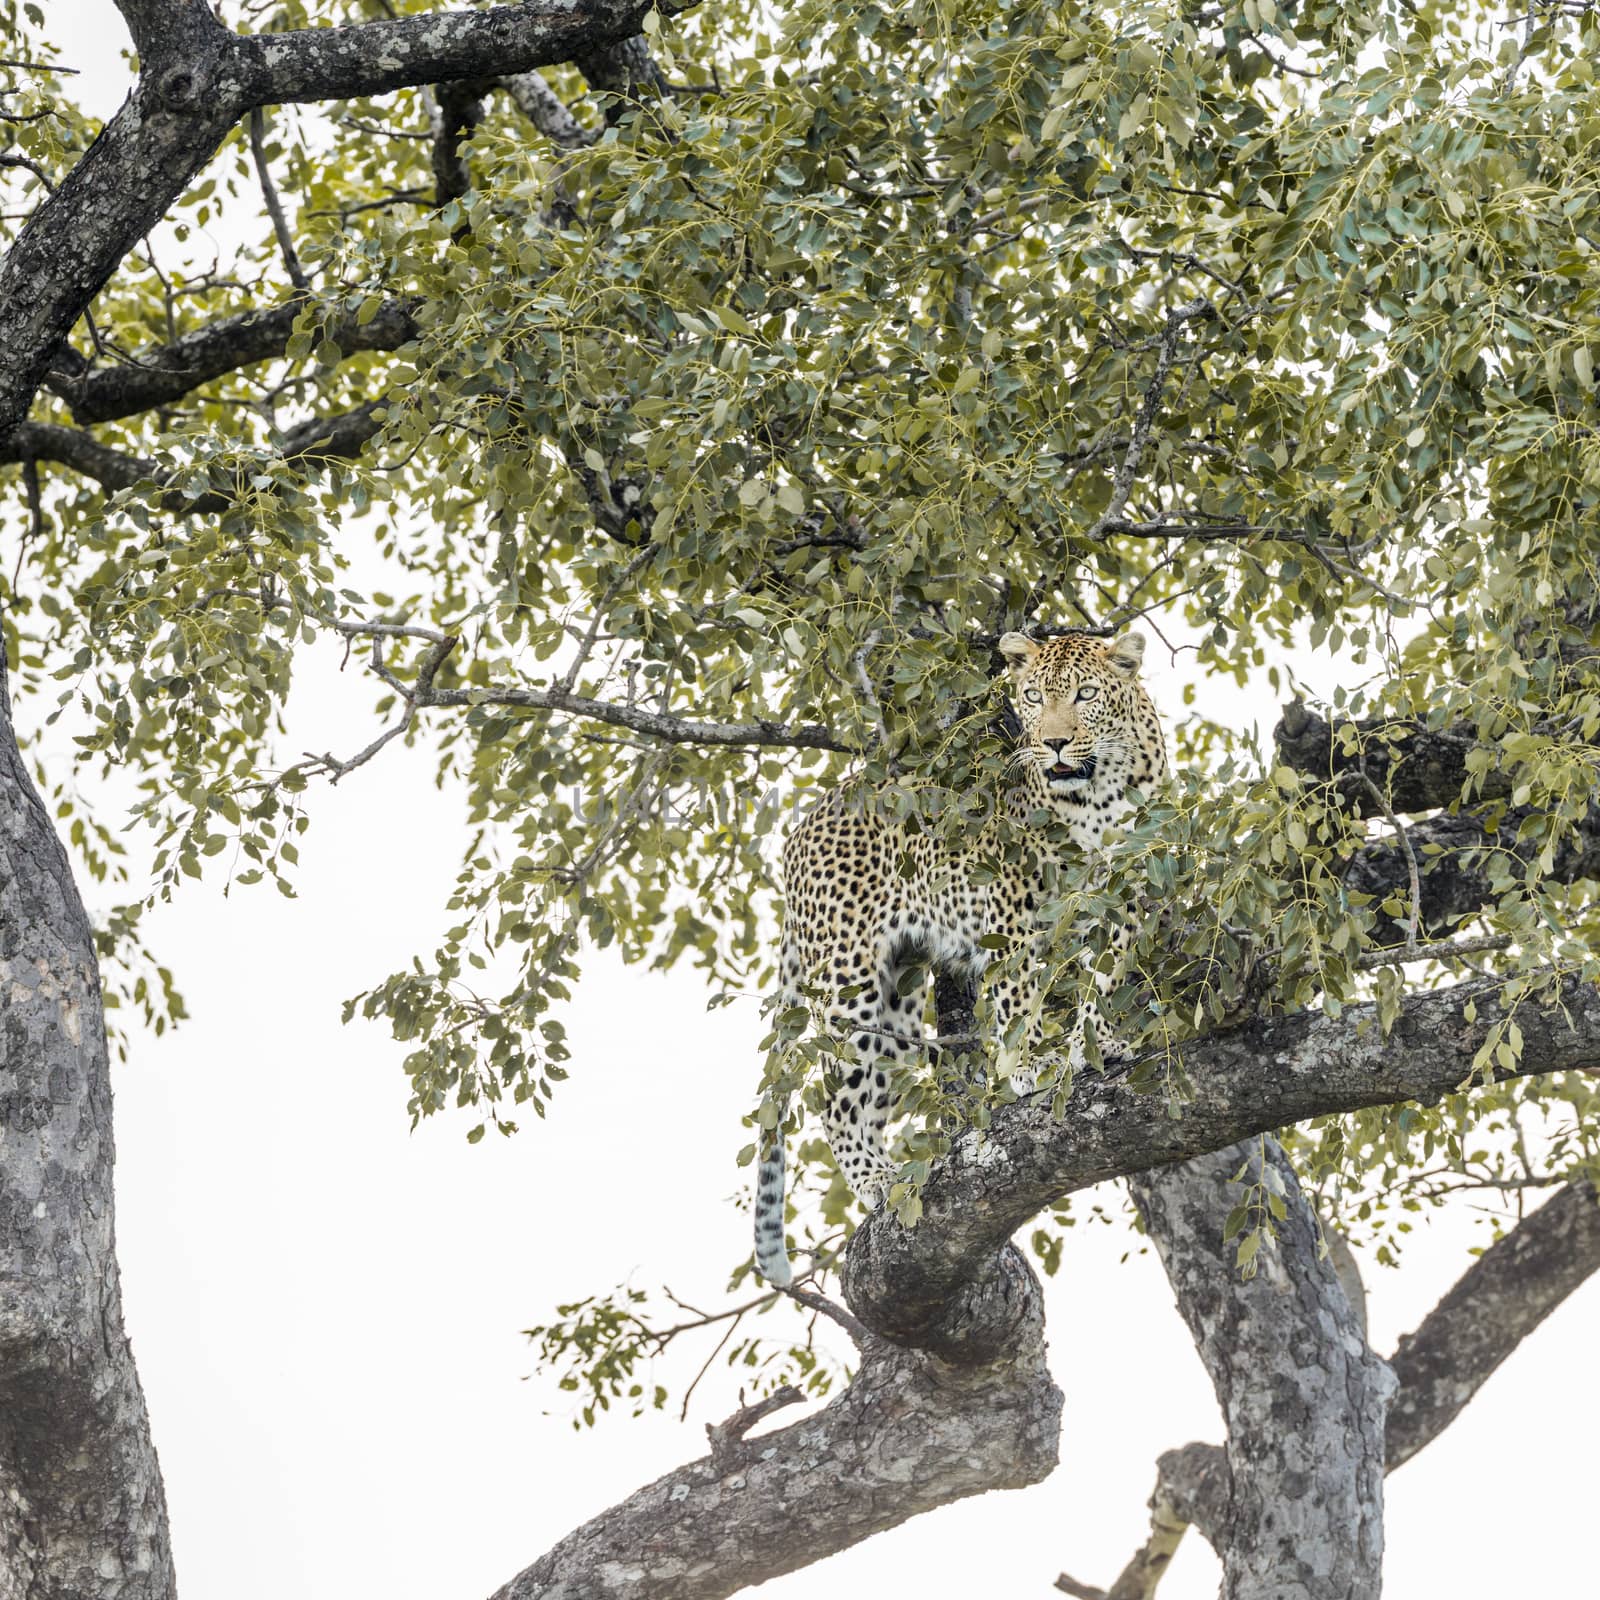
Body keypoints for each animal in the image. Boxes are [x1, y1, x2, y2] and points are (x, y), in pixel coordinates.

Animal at [748, 624, 1164, 1286]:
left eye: (1086, 694)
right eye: (1032, 695)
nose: (1052, 743)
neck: (1101, 786)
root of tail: (802, 829)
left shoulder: (1125, 889)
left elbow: (1106, 976)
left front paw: (1099, 1043)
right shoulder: (1014, 898)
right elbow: (1019, 989)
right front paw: (1028, 1064)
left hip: (899, 997)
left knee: (869, 1088)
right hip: (847, 978)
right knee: (834, 1099)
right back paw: (877, 1179)